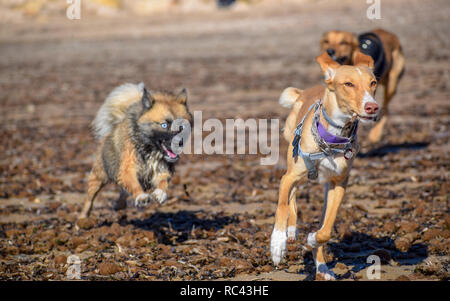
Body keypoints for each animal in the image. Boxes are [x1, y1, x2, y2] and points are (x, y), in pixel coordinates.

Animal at [79, 82, 192, 218]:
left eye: (182, 126)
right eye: (164, 125)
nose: (179, 143)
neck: (149, 149)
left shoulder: (161, 170)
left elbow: (163, 182)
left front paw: (160, 193)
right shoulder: (128, 169)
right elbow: (133, 184)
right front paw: (141, 197)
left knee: (123, 191)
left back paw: (119, 204)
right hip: (98, 176)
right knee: (90, 199)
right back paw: (82, 218)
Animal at [270, 51, 380, 278]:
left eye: (373, 82)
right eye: (348, 84)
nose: (372, 107)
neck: (332, 140)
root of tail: (304, 91)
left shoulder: (339, 184)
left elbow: (327, 228)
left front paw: (313, 239)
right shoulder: (289, 176)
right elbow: (282, 206)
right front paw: (277, 245)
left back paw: (322, 267)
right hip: (292, 161)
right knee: (292, 195)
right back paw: (290, 231)